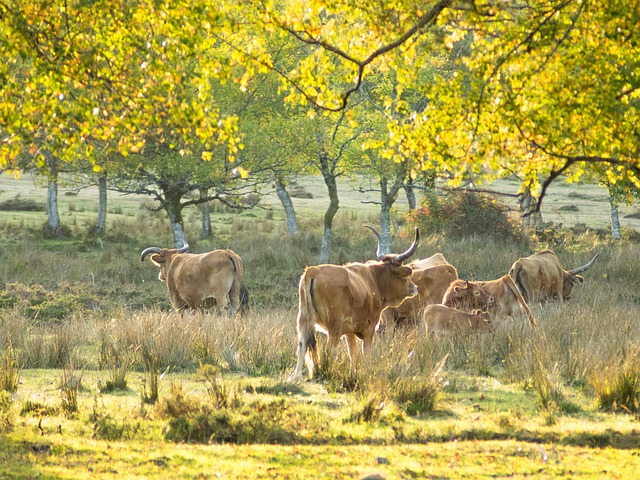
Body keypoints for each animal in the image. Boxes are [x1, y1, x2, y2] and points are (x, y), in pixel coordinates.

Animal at [287, 227, 420, 382]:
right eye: (405, 276)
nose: (414, 287)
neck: (374, 280)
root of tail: (313, 270)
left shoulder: (349, 331)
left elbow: (353, 353)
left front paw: (352, 375)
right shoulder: (369, 329)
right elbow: (365, 353)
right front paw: (366, 373)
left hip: (304, 319)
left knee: (302, 345)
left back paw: (296, 376)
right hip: (334, 326)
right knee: (330, 349)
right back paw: (331, 373)